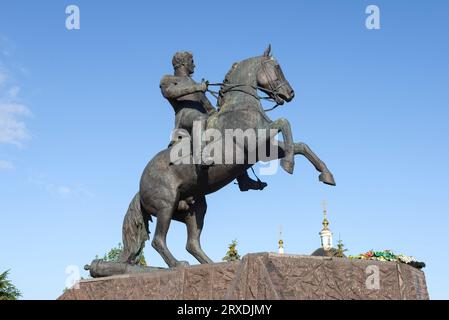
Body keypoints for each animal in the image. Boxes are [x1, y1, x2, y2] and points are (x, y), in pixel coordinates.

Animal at [117, 46, 334, 268]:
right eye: (276, 67)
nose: (290, 93)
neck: (240, 107)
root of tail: (140, 187)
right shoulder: (253, 143)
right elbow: (284, 122)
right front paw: (289, 164)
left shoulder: (263, 149)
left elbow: (300, 145)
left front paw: (325, 174)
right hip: (166, 205)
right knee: (159, 240)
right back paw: (178, 264)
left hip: (195, 208)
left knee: (192, 244)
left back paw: (212, 264)